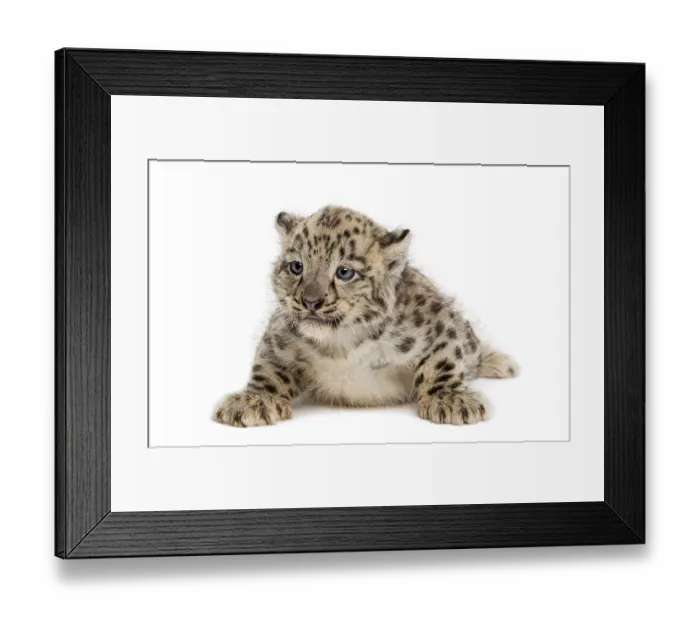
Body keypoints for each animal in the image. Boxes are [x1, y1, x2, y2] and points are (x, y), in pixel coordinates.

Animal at [214, 206, 518, 428]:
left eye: (344, 272)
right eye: (296, 267)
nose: (310, 301)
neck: (340, 346)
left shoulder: (438, 321)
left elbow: (443, 361)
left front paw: (450, 399)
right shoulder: (279, 335)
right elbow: (268, 369)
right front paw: (254, 401)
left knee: (472, 345)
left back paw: (501, 363)